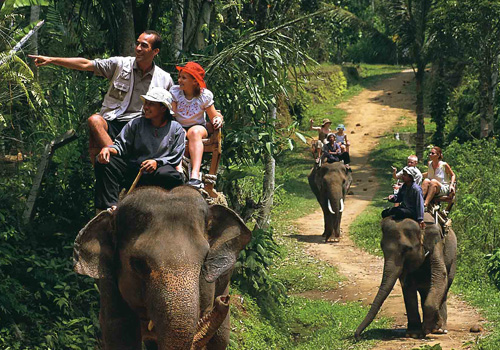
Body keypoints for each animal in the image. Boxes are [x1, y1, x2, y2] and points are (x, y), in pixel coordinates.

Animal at [354, 212, 456, 340]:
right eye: (382, 248)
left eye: (407, 249)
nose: (357, 336)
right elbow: (407, 284)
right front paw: (414, 334)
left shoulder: (437, 244)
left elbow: (439, 274)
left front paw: (431, 328)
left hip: (453, 262)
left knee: (444, 287)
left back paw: (440, 329)